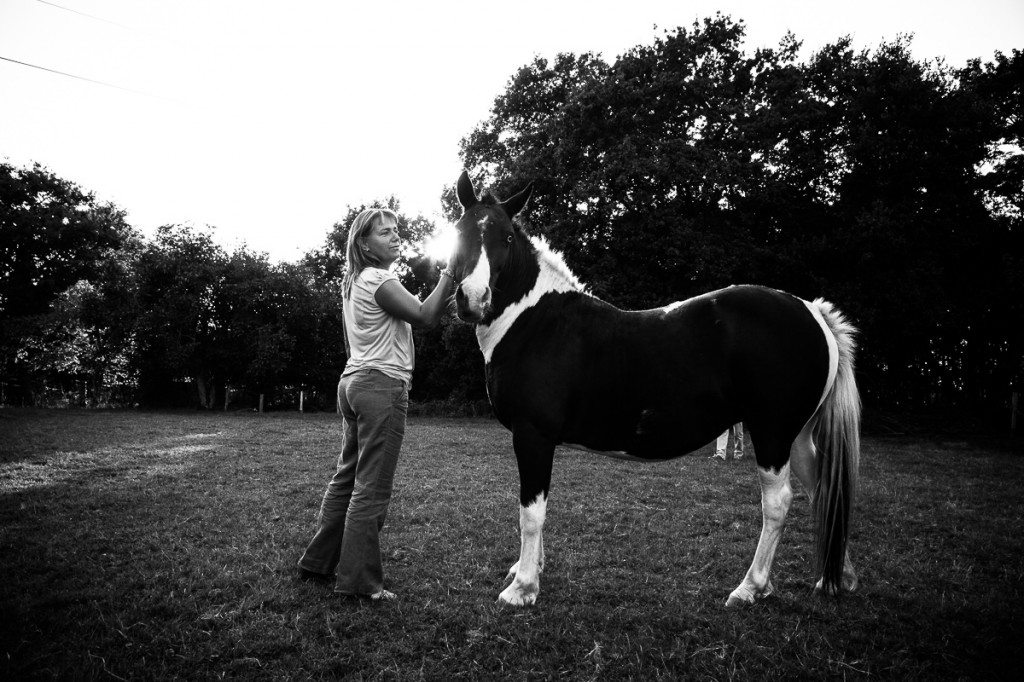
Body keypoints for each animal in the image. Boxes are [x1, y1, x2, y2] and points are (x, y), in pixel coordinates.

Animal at [452, 169, 860, 606]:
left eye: (507, 237)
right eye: (460, 231)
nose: (472, 298)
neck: (536, 322)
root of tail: (812, 311)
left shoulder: (532, 435)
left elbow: (531, 511)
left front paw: (523, 587)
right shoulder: (538, 441)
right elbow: (538, 504)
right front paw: (528, 570)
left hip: (772, 434)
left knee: (779, 503)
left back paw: (750, 587)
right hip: (798, 437)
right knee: (824, 493)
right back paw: (835, 579)